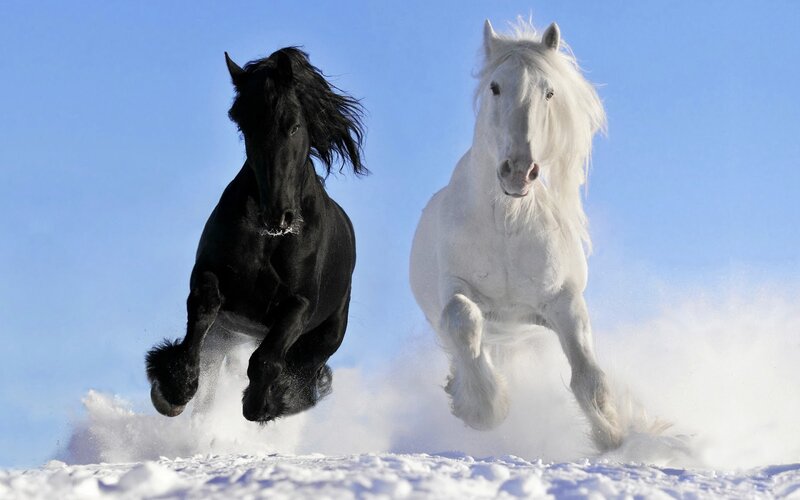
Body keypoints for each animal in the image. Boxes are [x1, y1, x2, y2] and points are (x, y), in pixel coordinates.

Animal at [145, 47, 366, 423]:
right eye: (244, 125)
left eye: (293, 125)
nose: (278, 215)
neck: (271, 240)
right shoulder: (210, 275)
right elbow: (203, 310)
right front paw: (173, 389)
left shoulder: (299, 304)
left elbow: (267, 359)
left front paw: (263, 403)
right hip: (227, 333)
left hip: (325, 336)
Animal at [409, 19, 622, 451]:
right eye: (495, 86)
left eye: (549, 91)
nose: (519, 171)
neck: (507, 224)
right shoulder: (454, 288)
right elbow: (461, 319)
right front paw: (485, 409)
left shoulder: (563, 302)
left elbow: (589, 377)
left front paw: (615, 435)